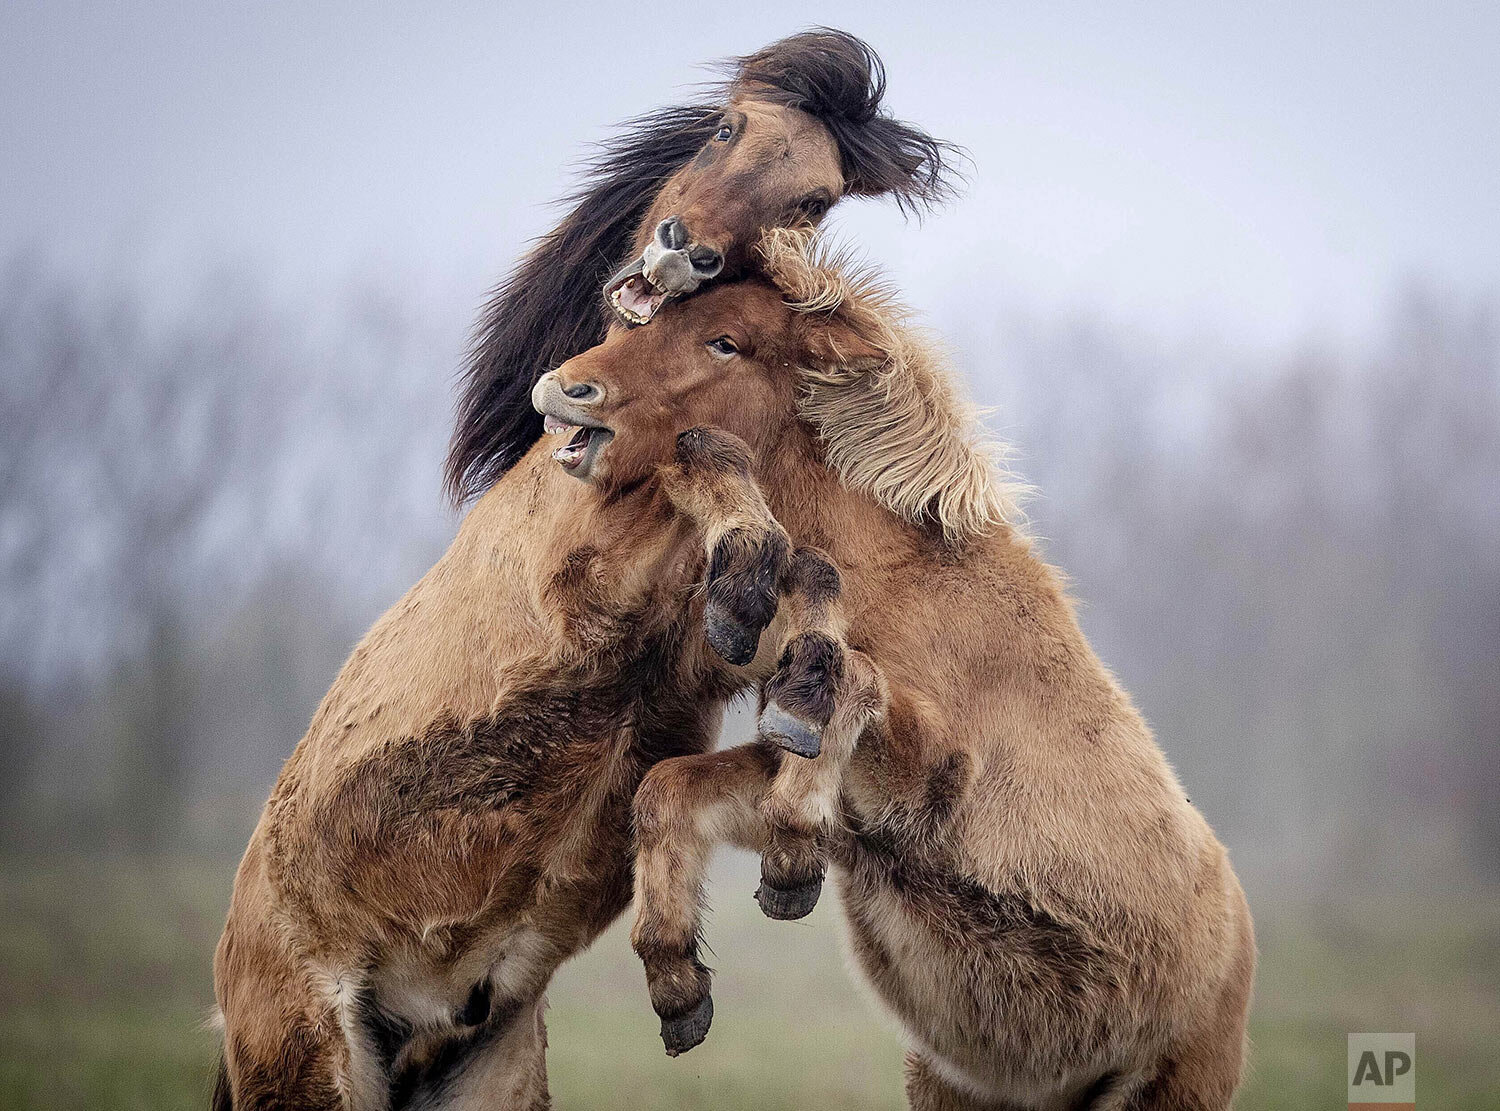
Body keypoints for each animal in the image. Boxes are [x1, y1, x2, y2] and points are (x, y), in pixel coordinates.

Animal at [540, 227, 1254, 1109]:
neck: (905, 585)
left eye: (725, 340)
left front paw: (785, 857)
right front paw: (680, 979)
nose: (563, 389)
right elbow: (666, 788)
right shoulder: (838, 798)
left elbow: (855, 683)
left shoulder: (931, 779)